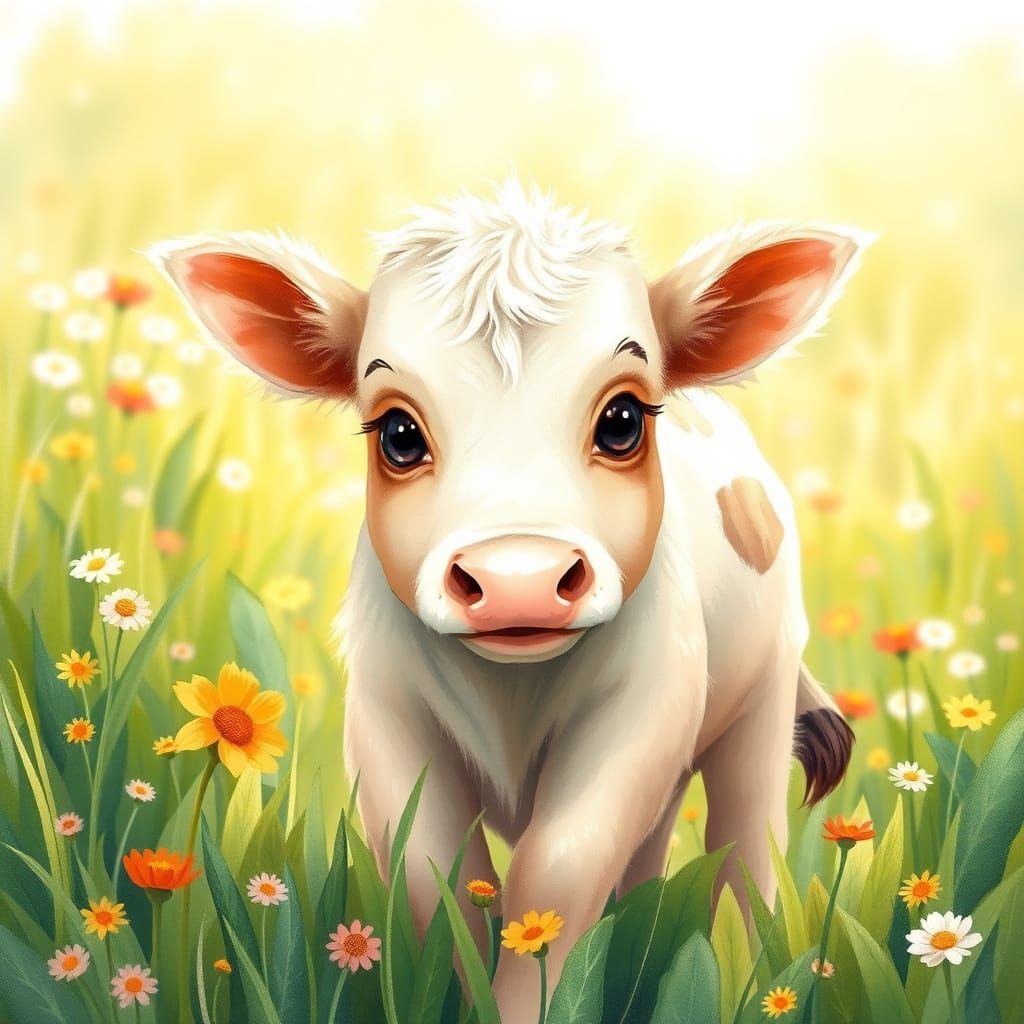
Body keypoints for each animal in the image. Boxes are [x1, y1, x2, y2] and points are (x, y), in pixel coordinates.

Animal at [151, 181, 864, 1023]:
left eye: (624, 420)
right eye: (397, 432)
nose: (518, 577)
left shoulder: (643, 706)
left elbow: (555, 872)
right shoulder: (387, 716)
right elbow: (439, 881)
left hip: (760, 696)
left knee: (744, 847)